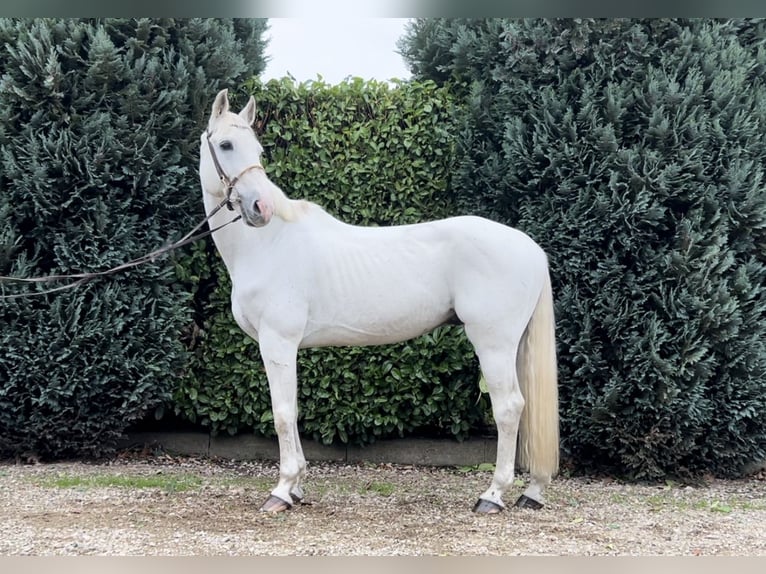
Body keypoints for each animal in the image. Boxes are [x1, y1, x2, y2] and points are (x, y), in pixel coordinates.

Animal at [198, 91, 560, 516]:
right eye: (226, 144)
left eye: (256, 149)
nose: (261, 209)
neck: (269, 245)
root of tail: (530, 247)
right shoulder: (287, 348)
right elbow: (294, 410)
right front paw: (298, 487)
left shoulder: (278, 343)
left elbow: (283, 413)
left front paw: (282, 490)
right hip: (513, 346)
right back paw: (532, 491)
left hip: (493, 343)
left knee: (509, 408)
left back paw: (492, 495)